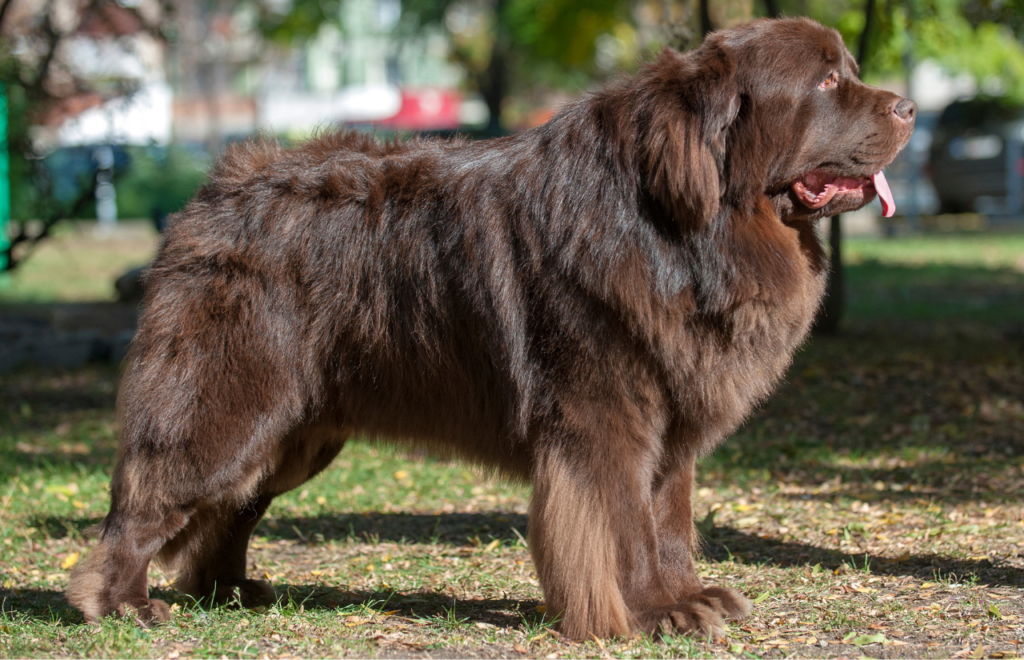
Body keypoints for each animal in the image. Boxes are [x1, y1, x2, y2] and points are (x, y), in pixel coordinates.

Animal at [66, 16, 913, 638]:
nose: (907, 105)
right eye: (827, 80)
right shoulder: (607, 420)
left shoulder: (670, 418)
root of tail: (211, 194)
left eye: (848, 68)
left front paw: (688, 598)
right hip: (231, 406)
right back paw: (122, 604)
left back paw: (231, 591)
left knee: (228, 510)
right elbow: (626, 526)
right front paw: (652, 612)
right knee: (152, 500)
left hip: (294, 432)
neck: (686, 228)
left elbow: (669, 520)